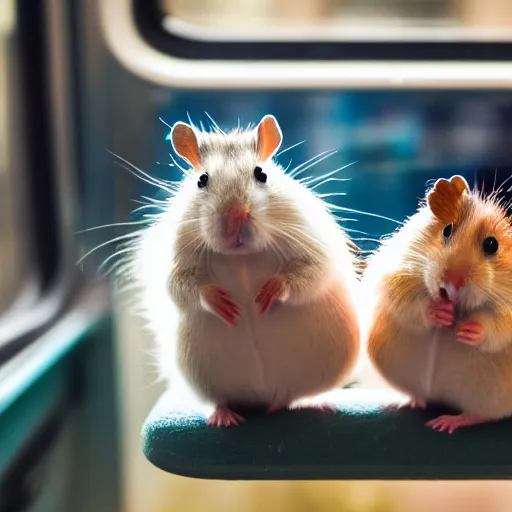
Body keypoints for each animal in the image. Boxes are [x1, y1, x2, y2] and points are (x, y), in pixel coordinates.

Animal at [364, 175, 512, 432]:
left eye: (492, 245)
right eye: (447, 230)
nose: (452, 281)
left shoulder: (507, 313)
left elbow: (497, 325)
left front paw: (468, 330)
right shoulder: (398, 274)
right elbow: (411, 303)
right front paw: (439, 312)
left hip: (492, 398)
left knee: (480, 415)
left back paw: (445, 423)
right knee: (420, 396)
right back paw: (411, 403)